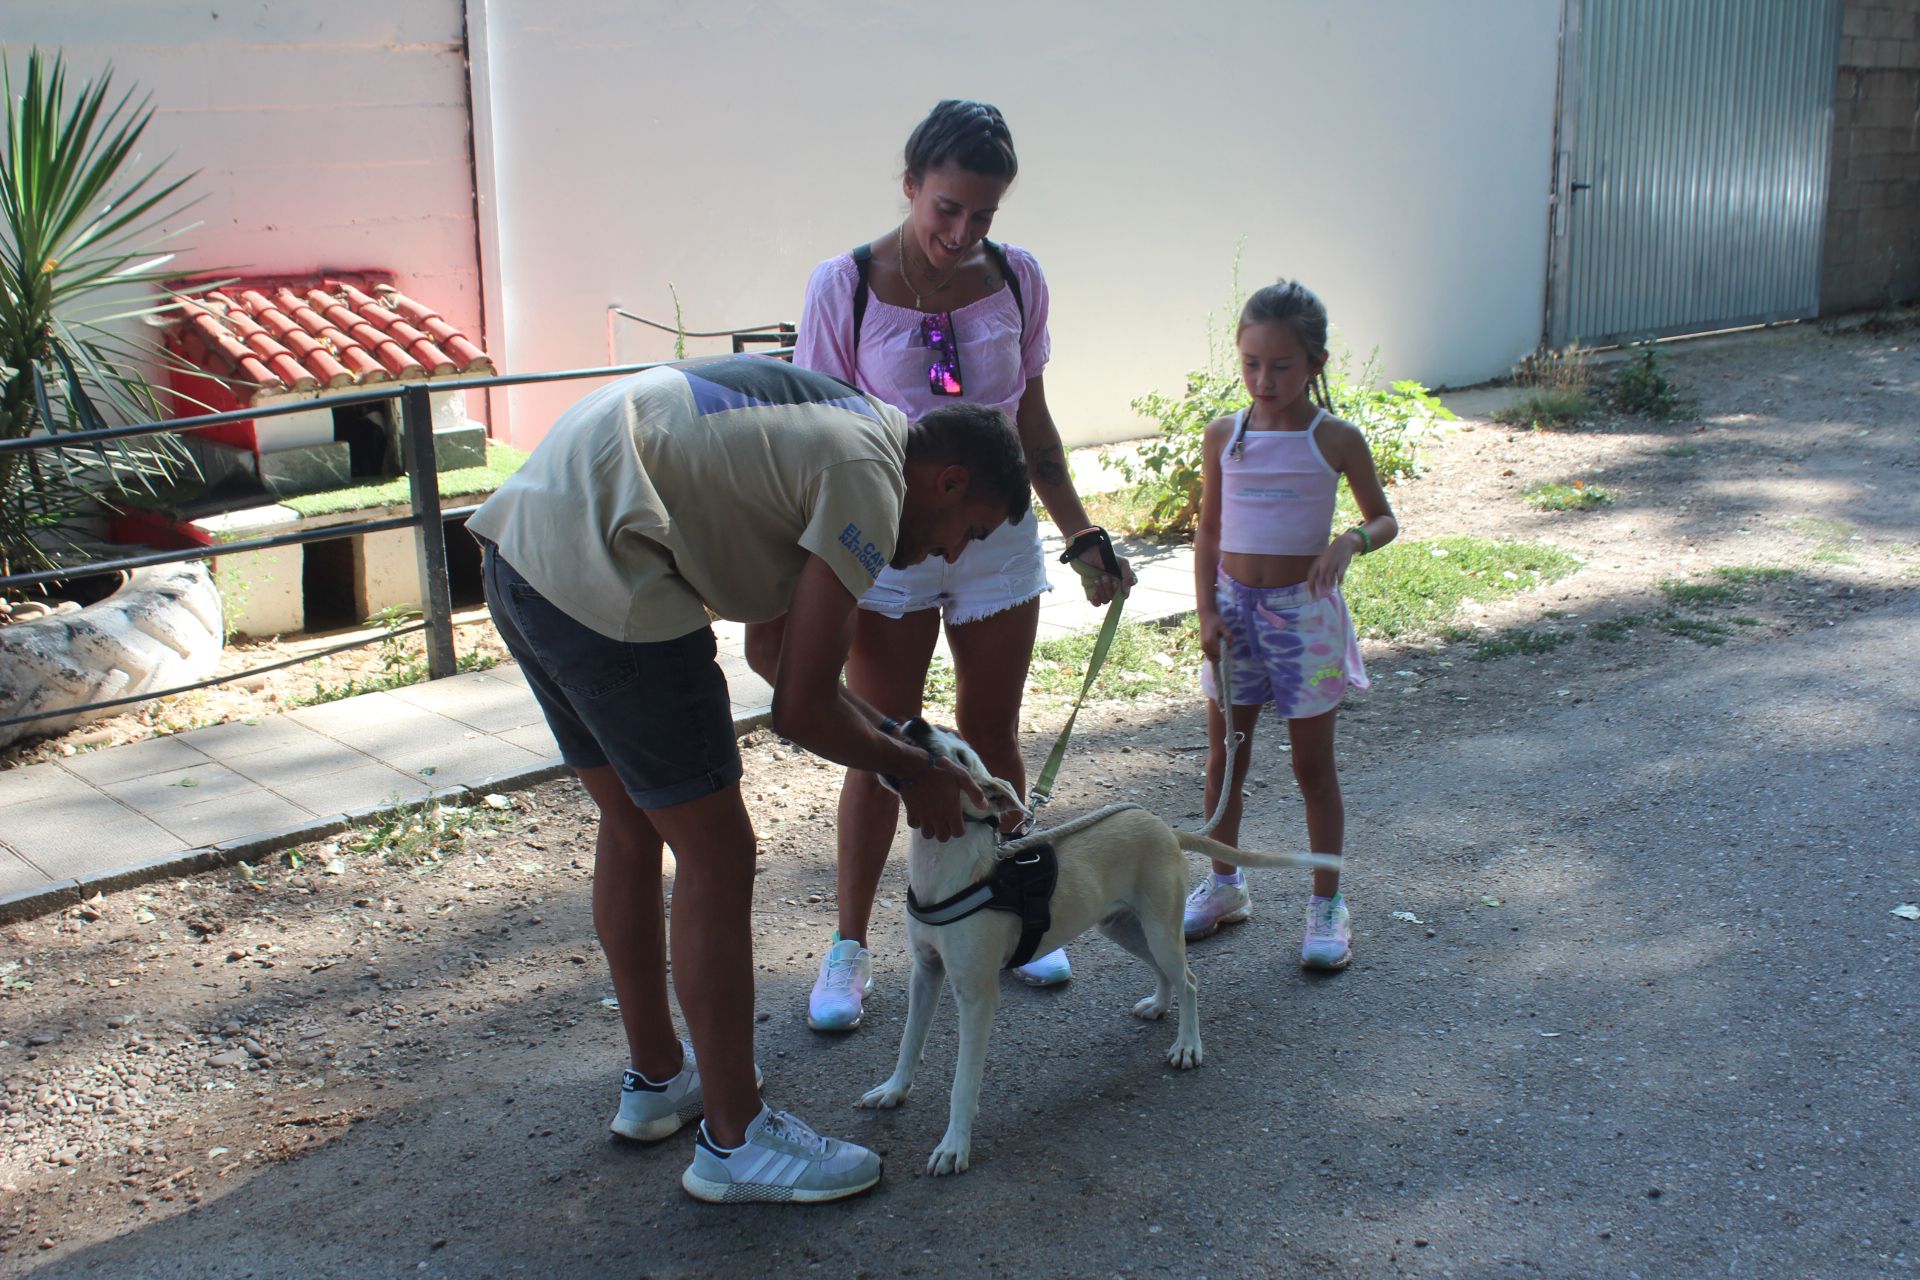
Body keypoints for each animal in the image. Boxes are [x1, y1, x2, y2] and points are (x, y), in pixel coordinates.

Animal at [867, 717, 1336, 1174]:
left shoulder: (977, 996)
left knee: (1188, 979)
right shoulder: (926, 972)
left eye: (962, 757)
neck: (949, 870)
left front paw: (954, 1147)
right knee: (1165, 973)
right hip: (1124, 928)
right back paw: (1158, 1006)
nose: (916, 722)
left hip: (1161, 930)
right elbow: (909, 1042)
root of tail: (1165, 827)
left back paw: (1188, 1045)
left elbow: (963, 1084)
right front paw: (893, 1090)